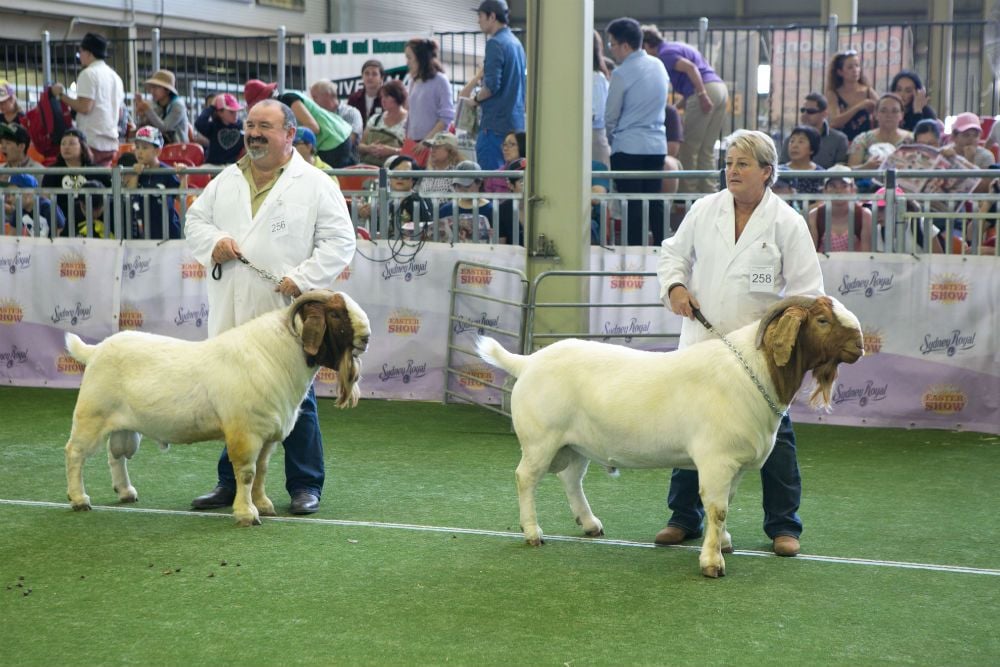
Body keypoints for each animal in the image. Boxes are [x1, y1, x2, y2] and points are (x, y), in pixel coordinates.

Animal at [64, 290, 370, 527]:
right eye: (336, 314)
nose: (366, 337)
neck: (275, 356)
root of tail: (94, 351)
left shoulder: (267, 435)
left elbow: (262, 471)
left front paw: (264, 505)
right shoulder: (245, 432)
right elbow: (246, 473)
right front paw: (247, 514)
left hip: (123, 425)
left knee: (116, 455)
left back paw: (126, 492)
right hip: (91, 415)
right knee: (75, 453)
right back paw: (79, 499)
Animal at [477, 295, 863, 577]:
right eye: (822, 320)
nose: (861, 344)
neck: (753, 371)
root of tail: (526, 363)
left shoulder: (734, 465)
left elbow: (725, 506)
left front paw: (723, 543)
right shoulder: (717, 459)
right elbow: (717, 508)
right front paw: (712, 563)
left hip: (575, 445)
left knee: (571, 479)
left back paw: (590, 525)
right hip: (541, 439)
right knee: (525, 478)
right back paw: (533, 533)